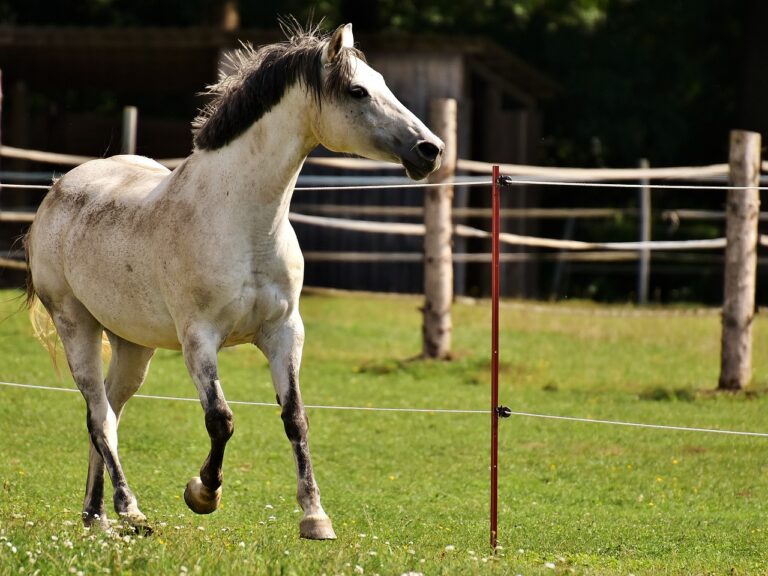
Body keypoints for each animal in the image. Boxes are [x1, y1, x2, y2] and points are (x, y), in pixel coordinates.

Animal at [24, 20, 440, 536]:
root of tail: (58, 189)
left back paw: (97, 515)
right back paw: (129, 509)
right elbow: (220, 419)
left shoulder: (284, 332)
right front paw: (202, 493)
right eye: (357, 90)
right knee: (100, 418)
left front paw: (315, 517)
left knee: (108, 415)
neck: (242, 222)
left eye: (381, 81)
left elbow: (295, 418)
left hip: (132, 344)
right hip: (75, 325)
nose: (430, 149)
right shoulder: (199, 339)